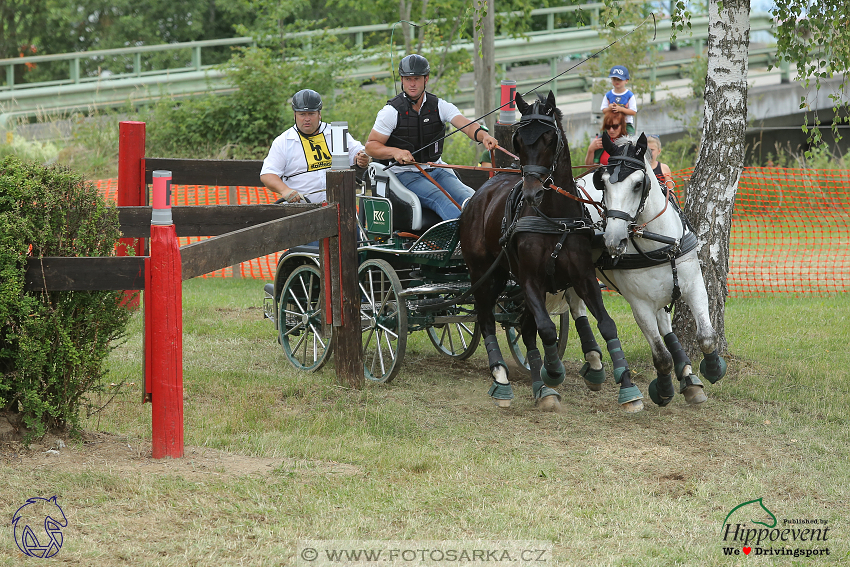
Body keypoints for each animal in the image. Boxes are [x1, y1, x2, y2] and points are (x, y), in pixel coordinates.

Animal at [460, 92, 640, 412]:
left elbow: (606, 324)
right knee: (487, 320)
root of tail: (481, 192)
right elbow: (546, 329)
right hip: (484, 274)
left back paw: (539, 388)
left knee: (524, 326)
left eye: (548, 138)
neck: (556, 219)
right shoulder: (531, 279)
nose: (532, 193)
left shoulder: (582, 277)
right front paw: (553, 372)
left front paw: (627, 387)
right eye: (518, 140)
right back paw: (502, 379)